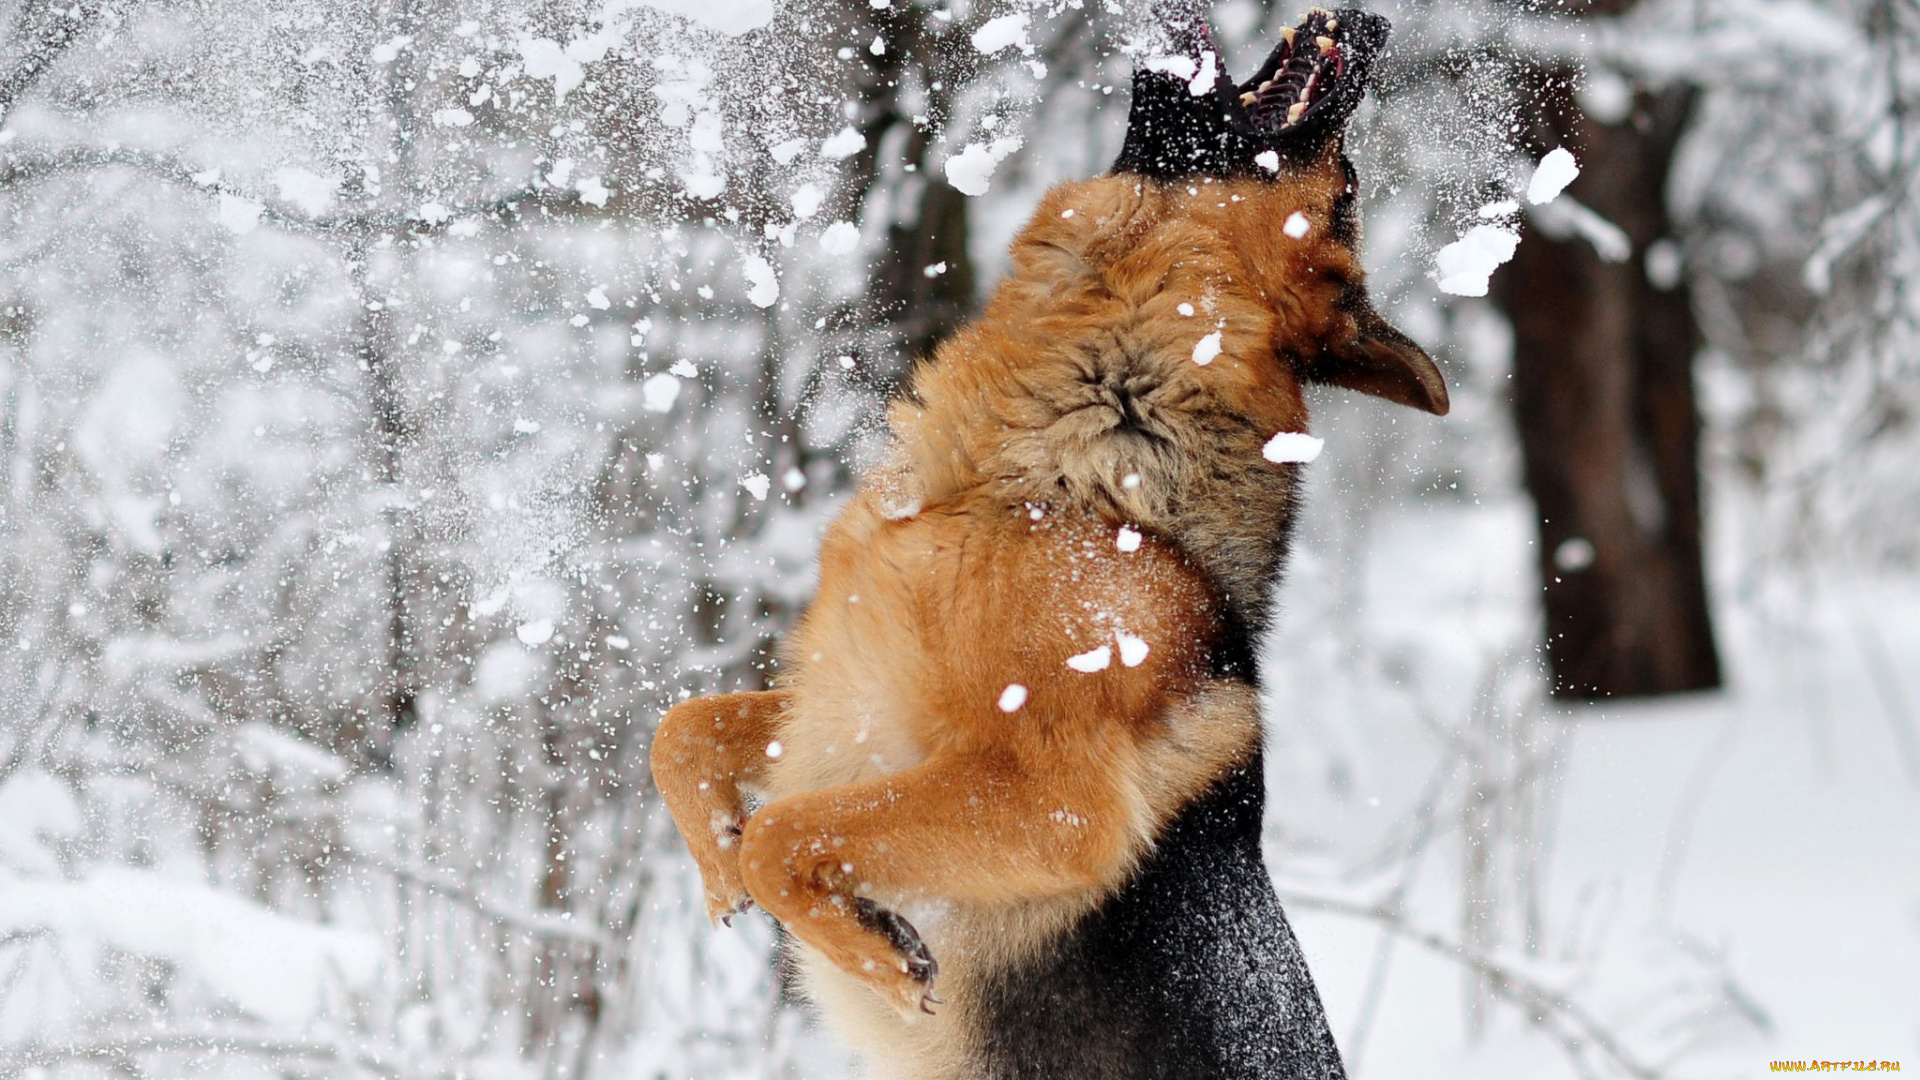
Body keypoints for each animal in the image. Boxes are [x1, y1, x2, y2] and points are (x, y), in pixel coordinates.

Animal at [652, 6, 1443, 1068]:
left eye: (1347, 184)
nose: (1375, 21)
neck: (1069, 482)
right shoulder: (843, 704)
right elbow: (684, 731)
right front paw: (718, 867)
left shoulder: (1051, 803)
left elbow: (784, 832)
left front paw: (872, 952)